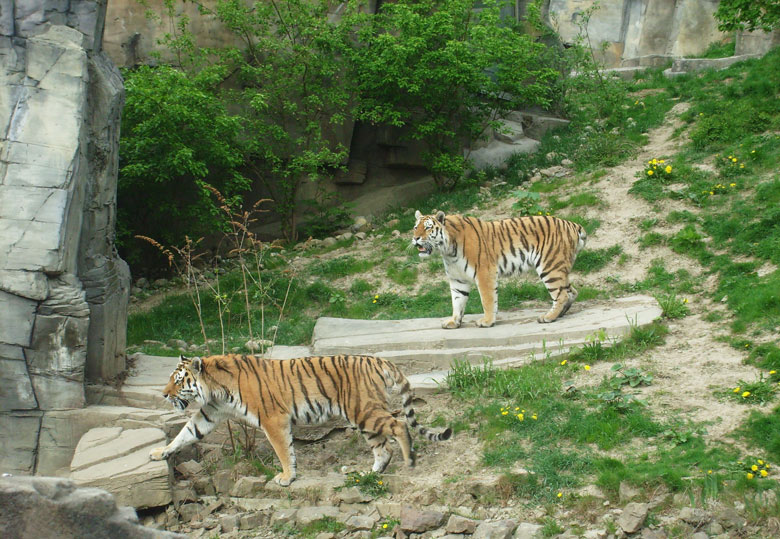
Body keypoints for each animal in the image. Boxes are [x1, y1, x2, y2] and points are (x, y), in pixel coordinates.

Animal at [149, 354, 450, 486]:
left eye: (178, 381)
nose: (163, 394)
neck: (216, 388)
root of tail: (378, 359)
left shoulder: (272, 419)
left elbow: (283, 450)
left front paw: (286, 476)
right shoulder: (210, 413)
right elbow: (187, 433)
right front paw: (160, 452)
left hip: (363, 410)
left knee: (398, 425)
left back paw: (410, 461)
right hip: (363, 416)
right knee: (383, 449)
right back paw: (367, 474)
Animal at [414, 211, 584, 330]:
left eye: (428, 227)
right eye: (416, 228)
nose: (415, 238)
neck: (448, 251)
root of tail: (573, 224)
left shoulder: (484, 273)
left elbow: (487, 300)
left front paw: (487, 321)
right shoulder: (458, 280)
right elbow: (457, 302)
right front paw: (454, 322)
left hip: (550, 266)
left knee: (561, 294)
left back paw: (548, 317)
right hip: (559, 268)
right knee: (572, 292)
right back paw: (560, 314)